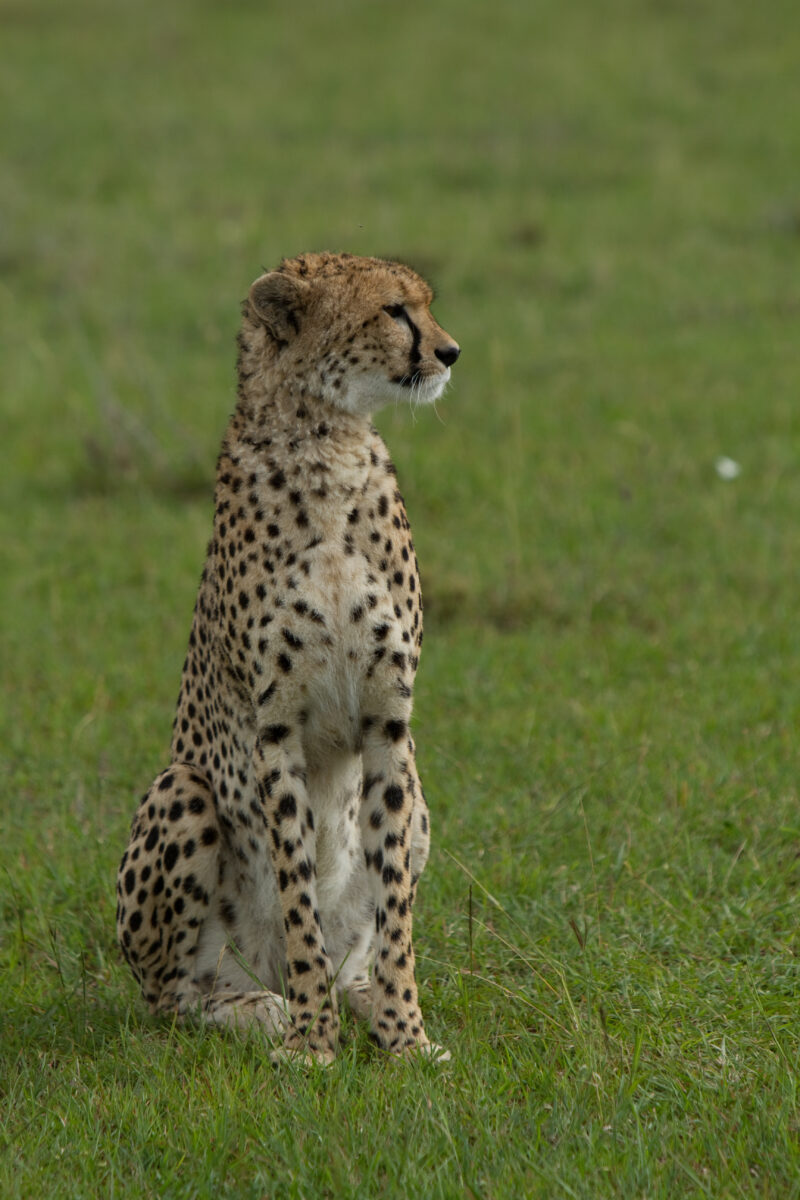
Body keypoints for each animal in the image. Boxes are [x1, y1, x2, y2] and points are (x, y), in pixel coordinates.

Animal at [115, 251, 460, 1063]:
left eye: (425, 304)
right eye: (394, 310)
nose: (450, 351)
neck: (326, 443)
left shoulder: (388, 722)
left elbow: (394, 906)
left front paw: (405, 1035)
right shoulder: (276, 729)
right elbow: (297, 890)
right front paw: (310, 1042)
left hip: (421, 793)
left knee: (356, 951)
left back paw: (359, 999)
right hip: (182, 789)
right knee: (173, 995)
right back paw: (258, 1007)